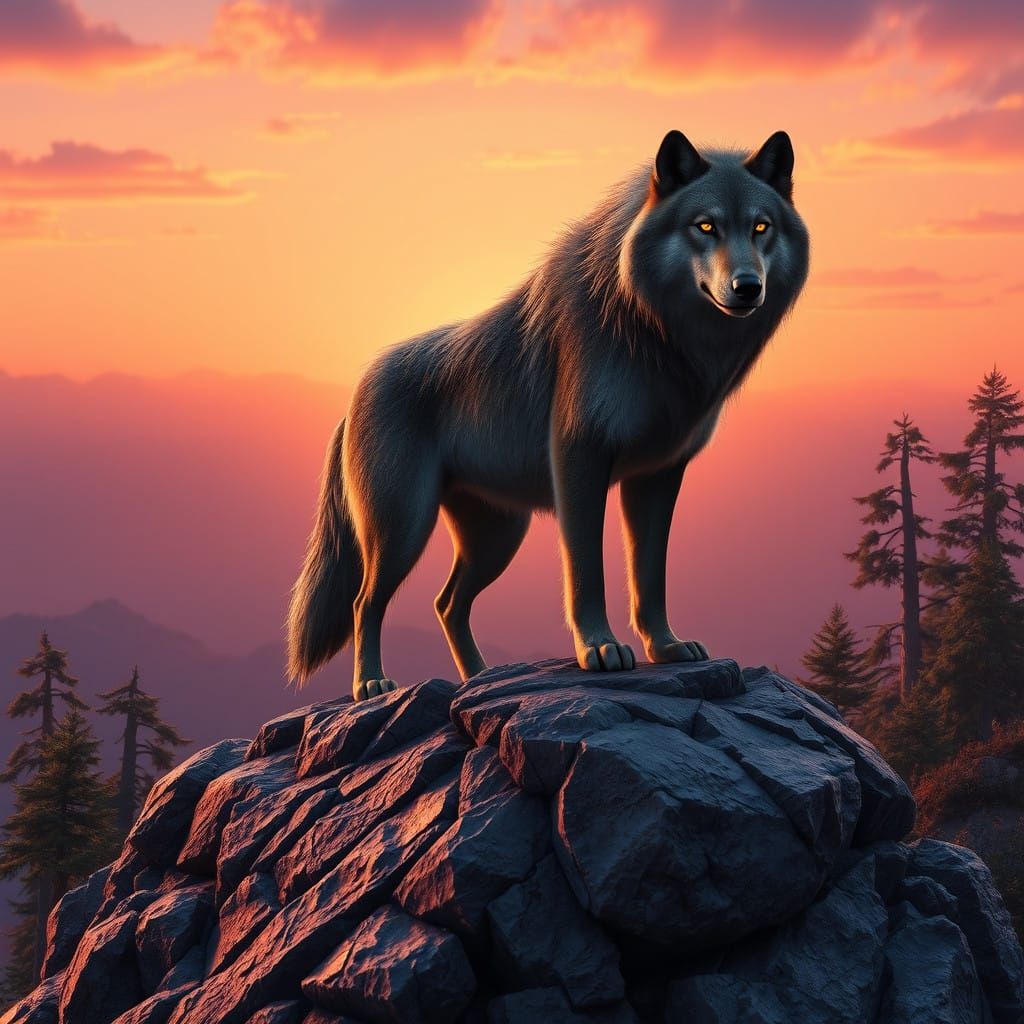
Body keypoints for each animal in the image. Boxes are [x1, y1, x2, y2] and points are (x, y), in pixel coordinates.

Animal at [288, 130, 810, 700]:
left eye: (761, 227)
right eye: (706, 226)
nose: (747, 286)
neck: (654, 332)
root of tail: (355, 394)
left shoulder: (658, 475)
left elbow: (650, 574)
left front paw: (665, 647)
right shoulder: (579, 462)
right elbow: (586, 570)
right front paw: (599, 649)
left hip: (496, 539)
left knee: (447, 603)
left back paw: (482, 678)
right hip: (404, 528)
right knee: (365, 601)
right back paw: (373, 683)